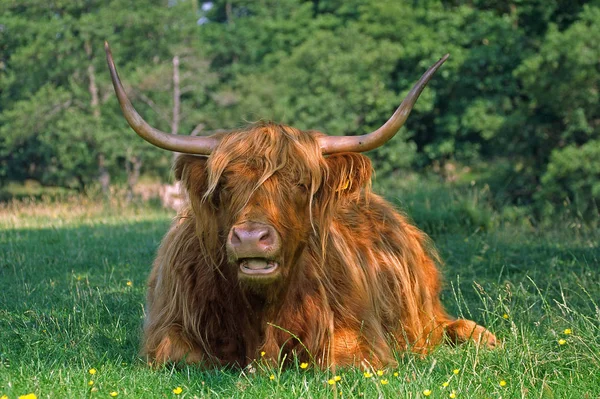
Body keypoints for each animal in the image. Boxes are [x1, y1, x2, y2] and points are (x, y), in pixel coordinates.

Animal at [104, 43, 496, 368]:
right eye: (225, 184)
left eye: (301, 183)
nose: (251, 238)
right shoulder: (169, 327)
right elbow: (181, 357)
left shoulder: (358, 335)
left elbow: (338, 359)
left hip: (426, 312)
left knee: (448, 326)